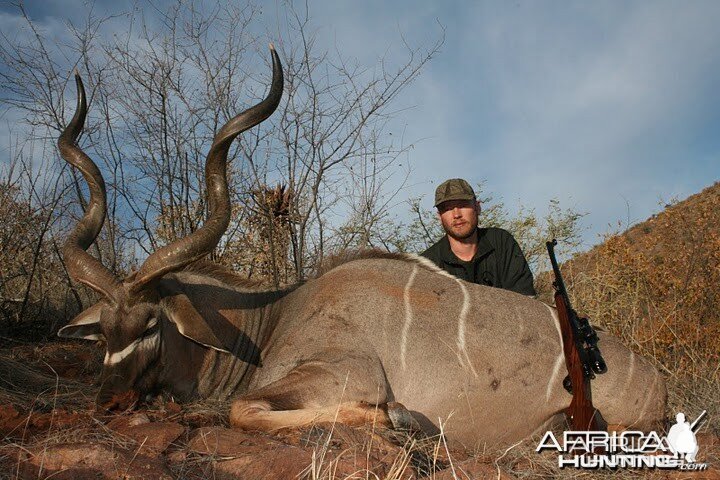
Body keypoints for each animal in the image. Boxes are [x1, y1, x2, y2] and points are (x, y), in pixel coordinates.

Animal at [56, 45, 664, 446]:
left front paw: (402, 419)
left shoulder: (345, 371)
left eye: (151, 324)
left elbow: (242, 409)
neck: (273, 318)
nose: (108, 402)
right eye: (103, 332)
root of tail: (657, 379)